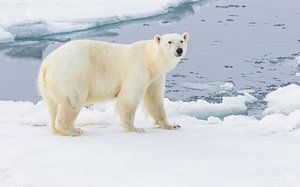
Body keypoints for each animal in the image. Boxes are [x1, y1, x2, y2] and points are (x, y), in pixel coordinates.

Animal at [37, 32, 189, 136]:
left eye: (181, 41)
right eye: (169, 42)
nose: (179, 50)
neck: (150, 59)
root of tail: (46, 64)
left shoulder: (155, 77)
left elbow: (154, 99)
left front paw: (171, 125)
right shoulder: (137, 70)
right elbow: (129, 98)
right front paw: (135, 128)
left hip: (49, 86)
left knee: (53, 106)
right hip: (71, 75)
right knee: (71, 102)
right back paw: (74, 130)